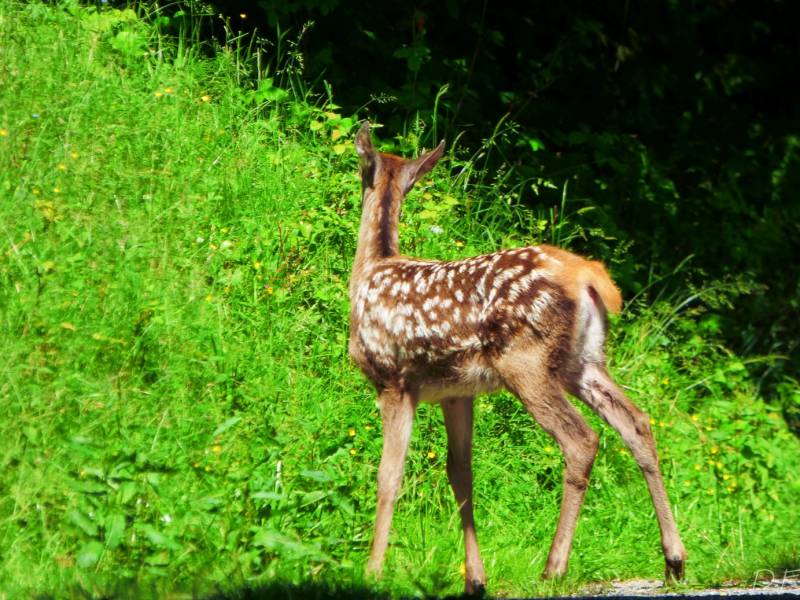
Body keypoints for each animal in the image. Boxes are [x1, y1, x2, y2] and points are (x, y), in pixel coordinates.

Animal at [348, 122, 686, 594]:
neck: (369, 270)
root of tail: (590, 277)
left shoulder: (394, 381)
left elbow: (388, 475)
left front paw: (373, 571)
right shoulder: (456, 393)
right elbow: (460, 474)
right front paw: (475, 579)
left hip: (525, 362)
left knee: (581, 438)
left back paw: (554, 567)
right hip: (582, 362)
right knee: (636, 422)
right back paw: (674, 559)